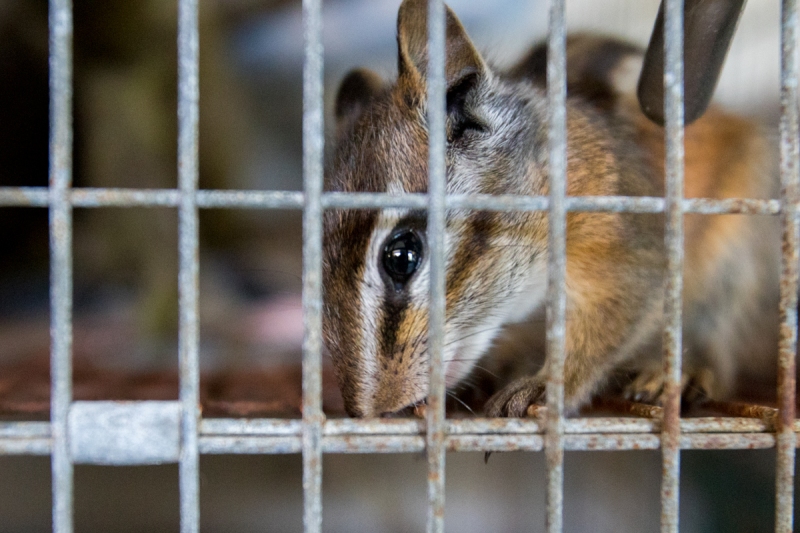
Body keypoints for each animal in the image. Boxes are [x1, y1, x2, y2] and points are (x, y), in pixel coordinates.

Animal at [322, 0, 780, 418]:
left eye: (401, 256)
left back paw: (683, 372)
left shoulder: (628, 245)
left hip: (733, 249)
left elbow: (608, 320)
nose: (365, 411)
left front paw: (546, 384)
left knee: (714, 333)